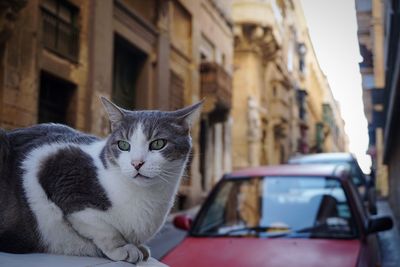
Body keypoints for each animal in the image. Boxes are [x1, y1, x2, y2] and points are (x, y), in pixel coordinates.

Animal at [0, 97, 202, 264]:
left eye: (158, 143)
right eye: (123, 145)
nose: (136, 163)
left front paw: (138, 246)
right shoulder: (54, 167)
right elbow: (102, 227)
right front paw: (123, 248)